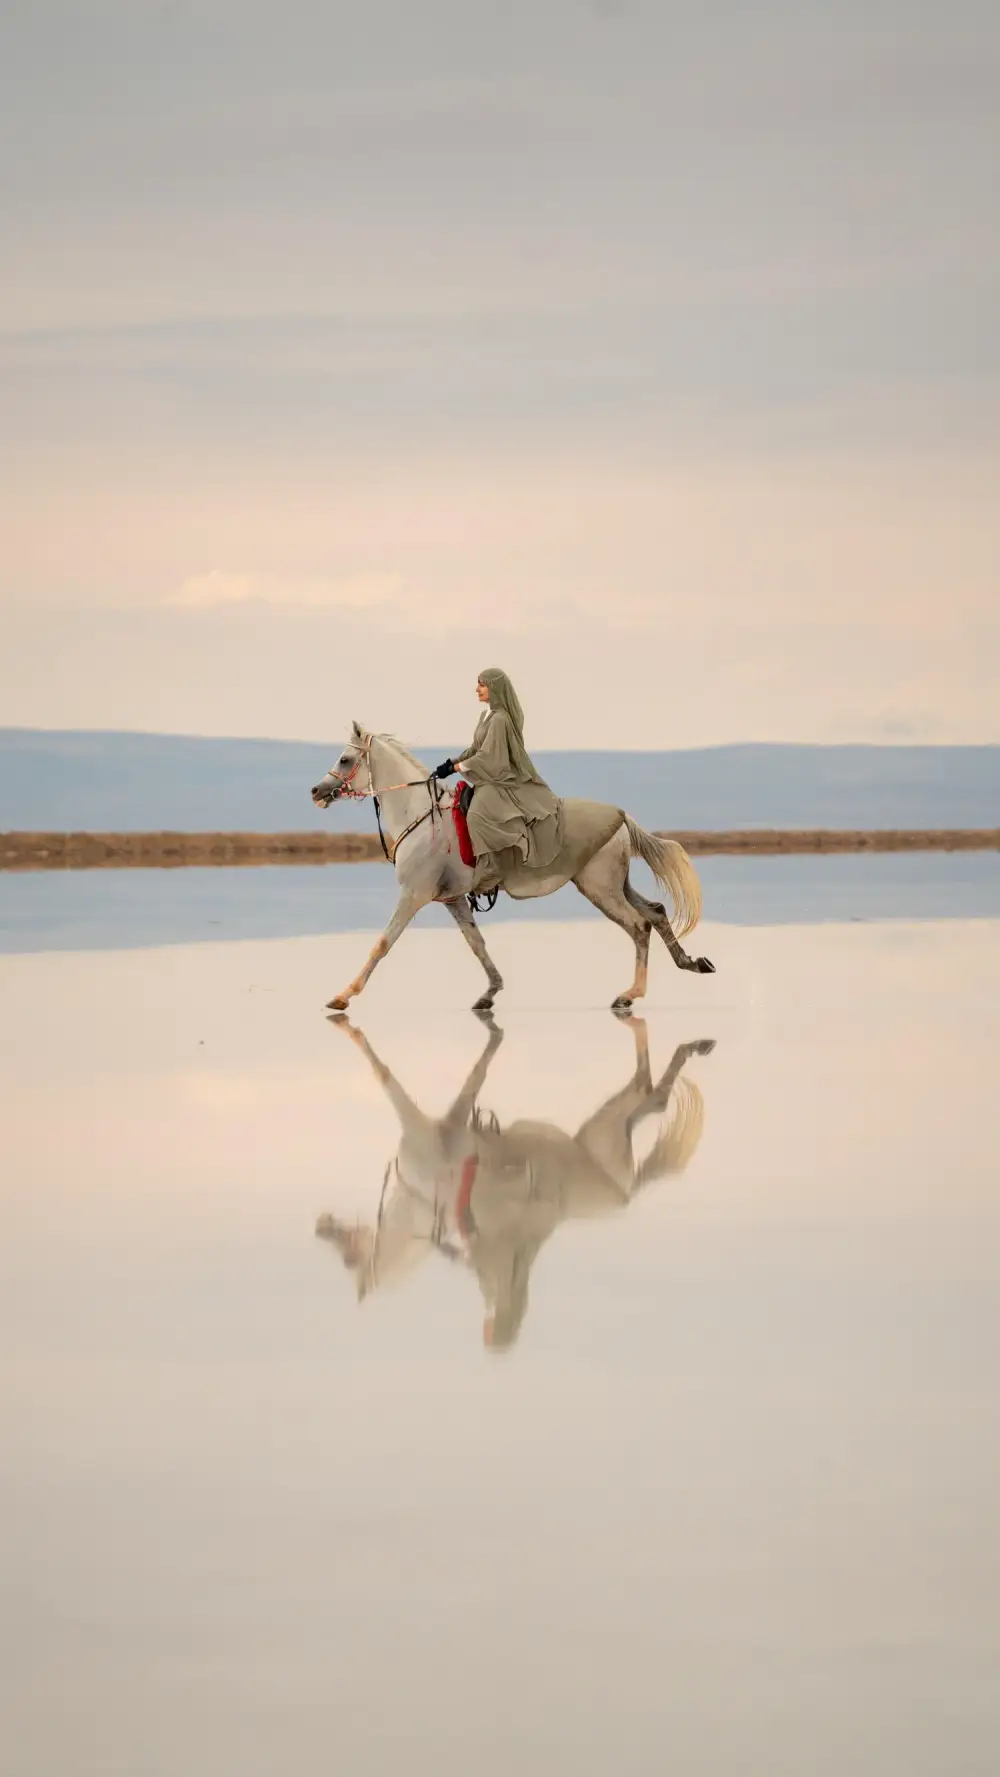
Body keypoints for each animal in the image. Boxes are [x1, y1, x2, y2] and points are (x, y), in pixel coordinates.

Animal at [311, 724, 715, 1012]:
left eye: (345, 759)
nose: (317, 792)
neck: (420, 814)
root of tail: (622, 817)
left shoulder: (414, 894)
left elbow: (382, 943)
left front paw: (343, 996)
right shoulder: (453, 899)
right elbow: (476, 943)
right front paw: (490, 992)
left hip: (599, 888)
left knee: (638, 925)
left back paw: (630, 994)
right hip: (616, 884)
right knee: (657, 912)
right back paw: (692, 963)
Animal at [315, 1015, 715, 1351]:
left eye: (349, 1260)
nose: (323, 1226)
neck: (420, 1204)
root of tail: (622, 1198)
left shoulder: (428, 1125)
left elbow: (388, 1074)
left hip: (603, 1135)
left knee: (649, 1094)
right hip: (604, 1138)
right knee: (645, 1102)